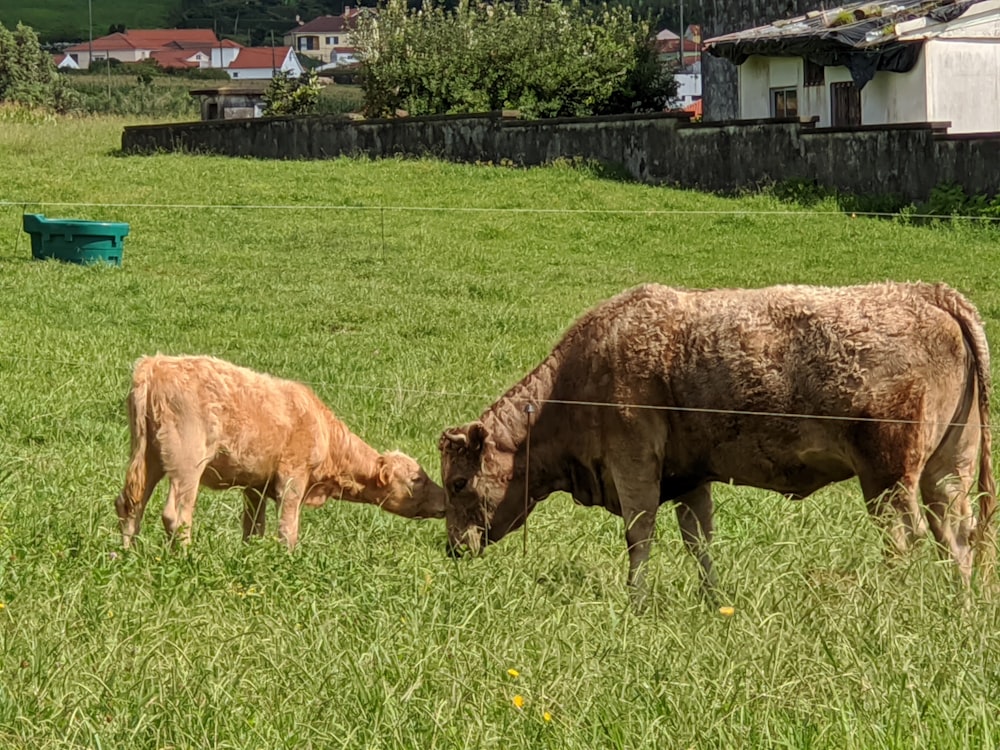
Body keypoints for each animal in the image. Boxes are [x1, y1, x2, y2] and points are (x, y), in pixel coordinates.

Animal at [111, 356, 444, 548]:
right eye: (418, 479)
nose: (445, 499)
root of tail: (154, 365)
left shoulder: (255, 485)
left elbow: (253, 528)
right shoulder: (293, 478)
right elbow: (288, 529)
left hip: (148, 456)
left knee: (130, 503)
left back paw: (127, 557)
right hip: (187, 462)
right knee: (176, 515)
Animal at [442, 284, 996, 600]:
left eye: (457, 483)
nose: (451, 550)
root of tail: (927, 292)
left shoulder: (633, 461)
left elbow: (639, 536)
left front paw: (634, 601)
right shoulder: (689, 475)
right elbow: (698, 540)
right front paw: (712, 600)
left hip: (886, 473)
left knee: (905, 537)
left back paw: (892, 603)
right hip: (948, 466)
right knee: (957, 535)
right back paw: (959, 608)